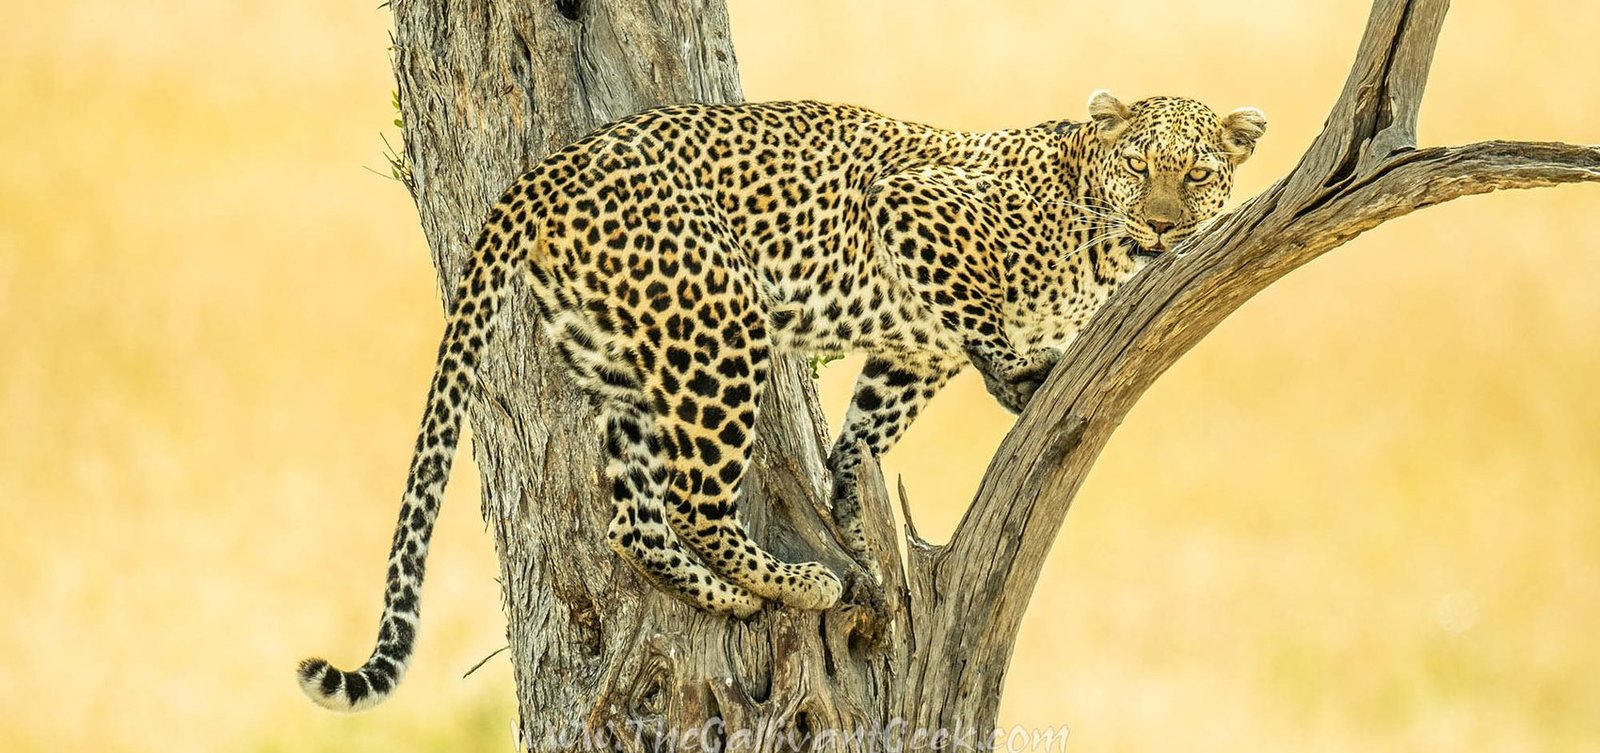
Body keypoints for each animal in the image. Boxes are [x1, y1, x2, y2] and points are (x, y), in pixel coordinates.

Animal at [297, 91, 1266, 711]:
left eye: (1198, 176)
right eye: (1140, 166)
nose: (1165, 227)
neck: (1096, 236)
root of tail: (550, 166)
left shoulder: (908, 354)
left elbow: (861, 437)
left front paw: (854, 522)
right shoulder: (912, 209)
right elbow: (977, 313)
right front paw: (1014, 374)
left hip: (621, 358)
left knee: (633, 516)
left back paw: (733, 596)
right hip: (720, 323)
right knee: (693, 496)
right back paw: (796, 579)